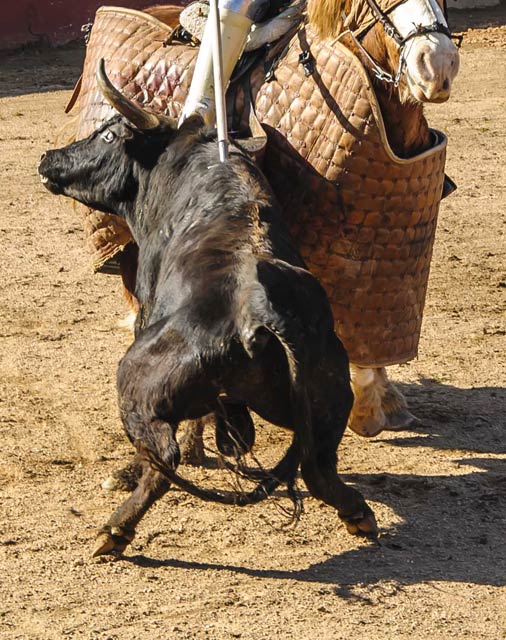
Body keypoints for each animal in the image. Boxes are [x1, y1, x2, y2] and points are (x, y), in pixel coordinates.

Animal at [38, 105, 376, 556]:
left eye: (108, 135)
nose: (49, 157)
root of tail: (256, 308)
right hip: (330, 398)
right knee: (318, 468)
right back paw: (357, 514)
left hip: (134, 384)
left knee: (162, 461)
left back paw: (116, 528)